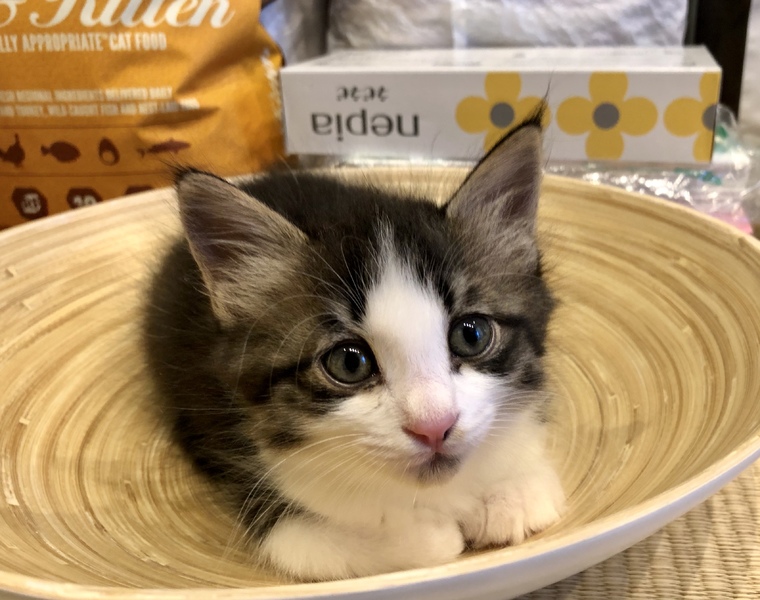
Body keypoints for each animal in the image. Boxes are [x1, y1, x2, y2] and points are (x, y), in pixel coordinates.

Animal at [143, 113, 565, 582]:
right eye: (349, 363)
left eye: (470, 335)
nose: (434, 427)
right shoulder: (251, 470)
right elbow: (314, 546)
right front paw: (423, 535)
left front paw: (509, 493)